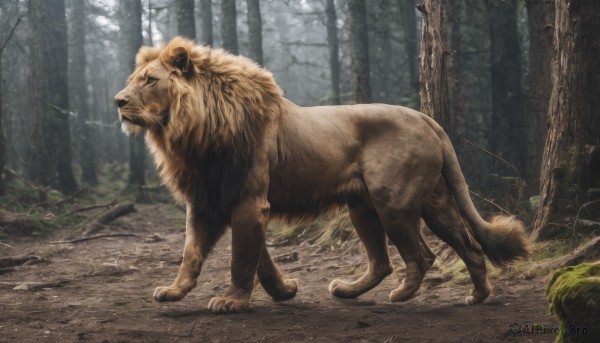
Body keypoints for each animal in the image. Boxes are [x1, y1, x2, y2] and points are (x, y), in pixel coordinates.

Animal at [115, 37, 532, 314]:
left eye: (150, 80)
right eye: (134, 78)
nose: (118, 101)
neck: (192, 131)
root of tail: (425, 118)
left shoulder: (249, 200)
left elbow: (241, 257)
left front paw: (232, 301)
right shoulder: (210, 200)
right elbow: (199, 253)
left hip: (393, 202)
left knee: (421, 255)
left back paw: (401, 295)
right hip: (394, 204)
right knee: (450, 249)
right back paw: (470, 296)